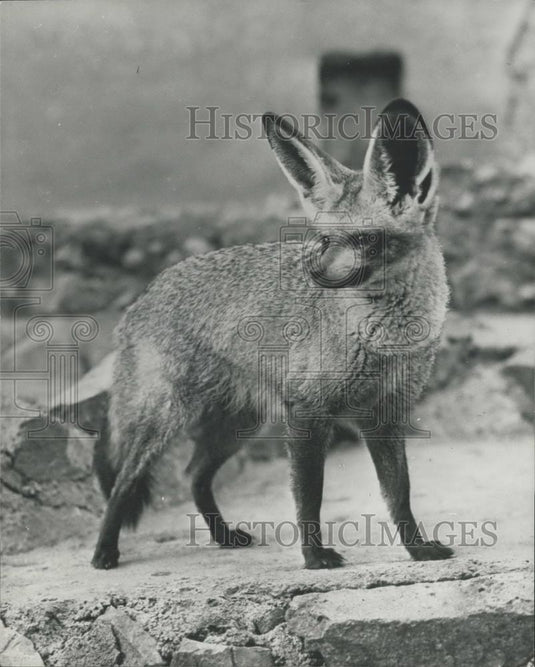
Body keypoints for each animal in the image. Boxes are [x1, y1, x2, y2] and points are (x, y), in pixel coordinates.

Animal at [92, 98, 454, 570]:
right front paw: (315, 557)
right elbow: (309, 497)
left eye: (366, 240)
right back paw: (104, 552)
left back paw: (222, 535)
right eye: (323, 239)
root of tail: (143, 296)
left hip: (239, 426)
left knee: (193, 475)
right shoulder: (307, 413)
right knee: (122, 484)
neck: (384, 340)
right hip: (163, 420)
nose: (313, 272)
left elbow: (399, 493)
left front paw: (417, 548)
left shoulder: (385, 418)